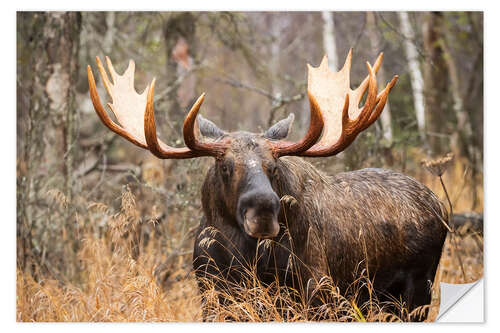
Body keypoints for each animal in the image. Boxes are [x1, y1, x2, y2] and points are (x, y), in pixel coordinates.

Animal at [87, 50, 450, 320]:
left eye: (273, 167)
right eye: (225, 166)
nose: (263, 209)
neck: (241, 257)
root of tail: (440, 205)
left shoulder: (317, 293)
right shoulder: (213, 296)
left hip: (417, 292)